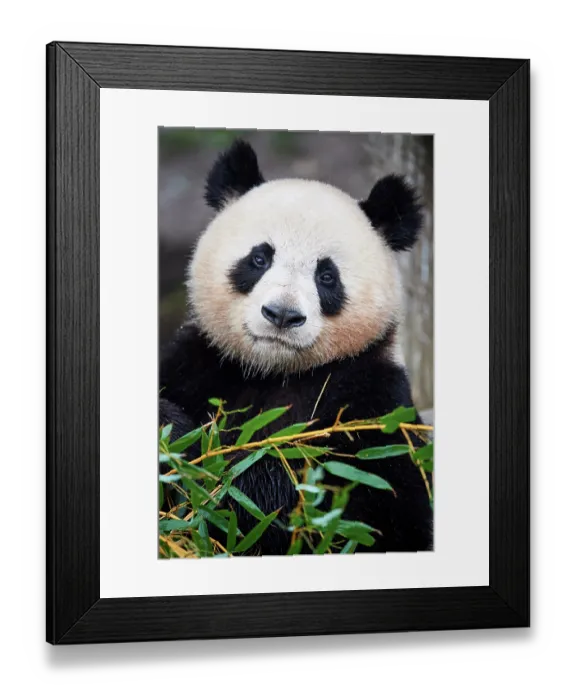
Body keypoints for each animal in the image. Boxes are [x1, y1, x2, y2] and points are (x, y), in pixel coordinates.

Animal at [160, 139, 432, 554]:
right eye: (259, 258)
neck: (274, 372)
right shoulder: (198, 362)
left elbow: (370, 513)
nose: (282, 315)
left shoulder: (374, 403)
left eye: (327, 276)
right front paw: (176, 435)